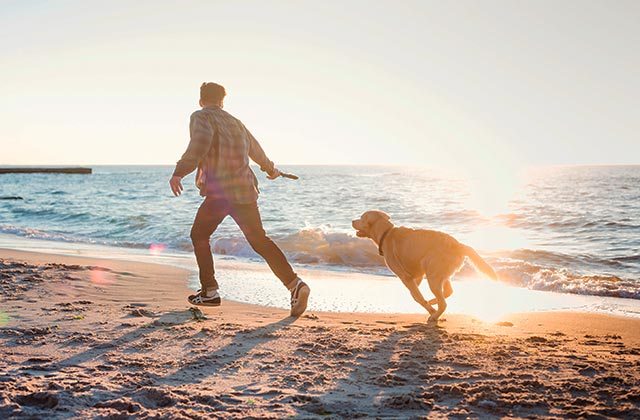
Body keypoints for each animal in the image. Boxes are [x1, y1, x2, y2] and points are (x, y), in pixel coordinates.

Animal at [352, 210, 498, 322]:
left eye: (361, 217)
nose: (352, 221)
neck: (386, 233)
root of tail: (459, 245)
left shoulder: (405, 276)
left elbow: (417, 296)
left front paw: (430, 309)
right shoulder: (417, 275)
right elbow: (416, 294)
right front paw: (429, 304)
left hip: (433, 275)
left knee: (444, 302)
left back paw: (434, 315)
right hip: (440, 274)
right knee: (448, 292)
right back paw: (434, 302)